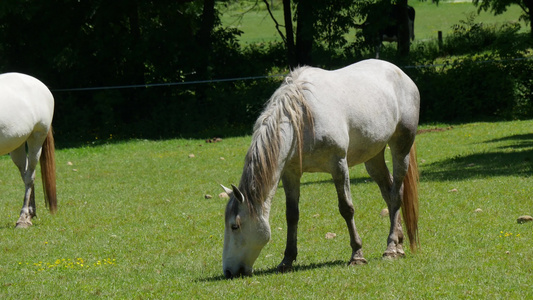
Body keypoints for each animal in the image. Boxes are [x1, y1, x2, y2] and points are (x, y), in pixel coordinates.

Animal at [0, 72, 56, 227]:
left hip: (36, 139)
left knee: (29, 176)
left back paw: (23, 219)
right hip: (17, 145)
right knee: (26, 174)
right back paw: (30, 214)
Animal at [221, 59, 420, 278]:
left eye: (235, 226)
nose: (229, 271)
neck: (301, 118)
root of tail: (399, 72)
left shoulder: (338, 165)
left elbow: (346, 209)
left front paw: (357, 255)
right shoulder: (291, 173)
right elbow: (292, 215)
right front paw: (287, 260)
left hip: (401, 147)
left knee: (396, 194)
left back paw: (391, 249)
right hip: (373, 157)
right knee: (389, 192)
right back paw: (398, 244)